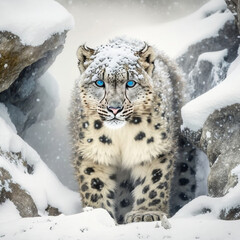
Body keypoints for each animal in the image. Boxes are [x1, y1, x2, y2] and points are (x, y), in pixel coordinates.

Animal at [69, 37, 195, 223]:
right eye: (99, 82)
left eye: (130, 83)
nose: (114, 108)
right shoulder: (93, 151)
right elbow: (94, 184)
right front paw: (99, 215)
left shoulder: (153, 148)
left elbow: (154, 180)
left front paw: (146, 213)